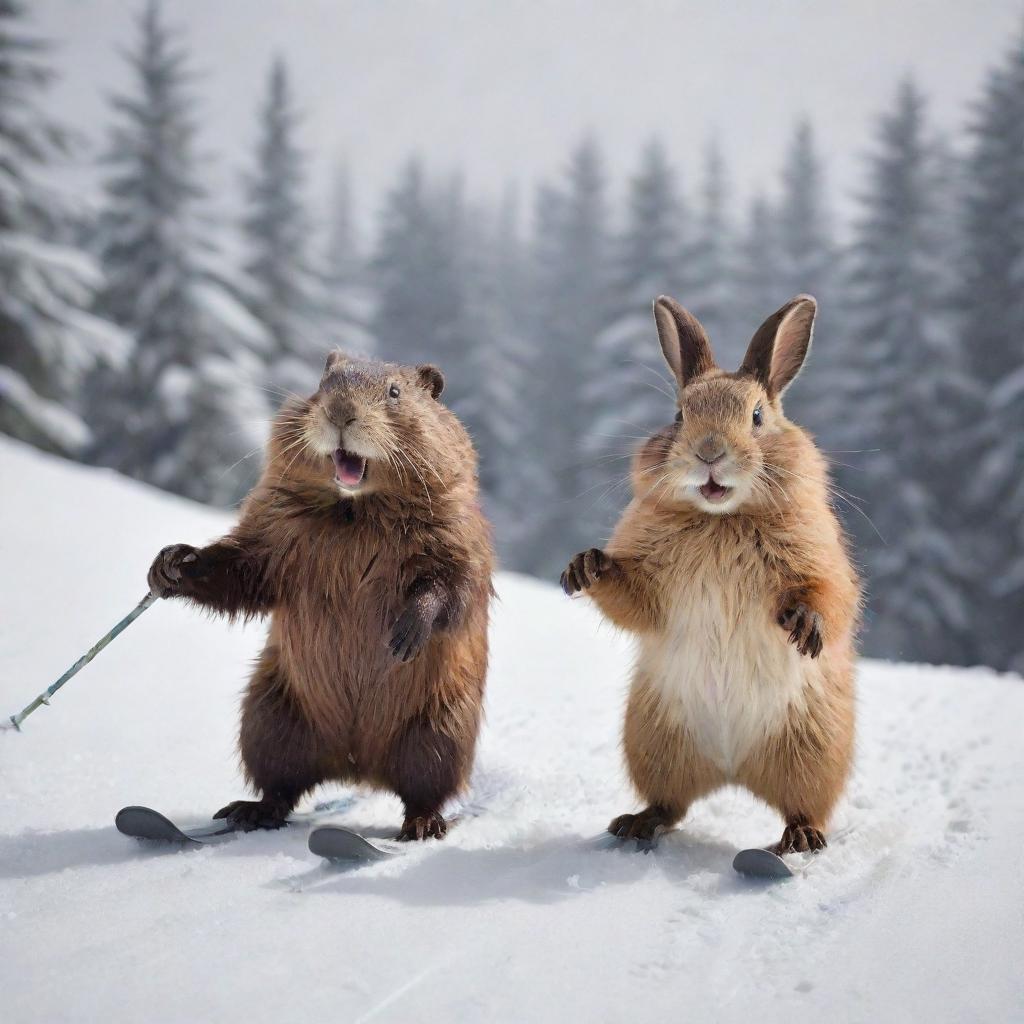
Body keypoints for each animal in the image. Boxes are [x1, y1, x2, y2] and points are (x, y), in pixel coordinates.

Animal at [146, 352, 493, 839]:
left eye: (394, 392)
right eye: (324, 380)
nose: (340, 412)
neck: (355, 509)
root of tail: (357, 767)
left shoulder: (458, 525)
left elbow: (456, 584)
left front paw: (404, 634)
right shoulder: (275, 522)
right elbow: (247, 571)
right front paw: (171, 563)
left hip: (442, 727)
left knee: (424, 787)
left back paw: (422, 826)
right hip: (268, 712)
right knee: (281, 784)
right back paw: (247, 812)